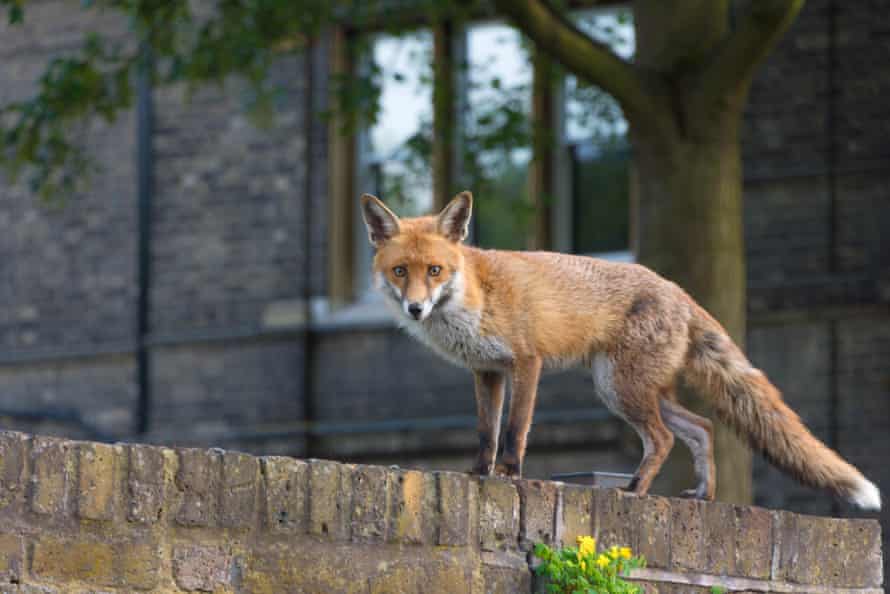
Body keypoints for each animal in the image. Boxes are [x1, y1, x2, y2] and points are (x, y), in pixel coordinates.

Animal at [360, 190, 881, 510]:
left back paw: (635, 491)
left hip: (620, 389)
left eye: (435, 270)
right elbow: (486, 434)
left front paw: (509, 476)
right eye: (401, 271)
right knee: (702, 427)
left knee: (665, 439)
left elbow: (513, 432)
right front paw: (476, 476)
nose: (415, 309)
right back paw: (702, 494)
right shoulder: (486, 371)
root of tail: (680, 291)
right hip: (631, 389)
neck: (474, 297)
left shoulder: (527, 361)